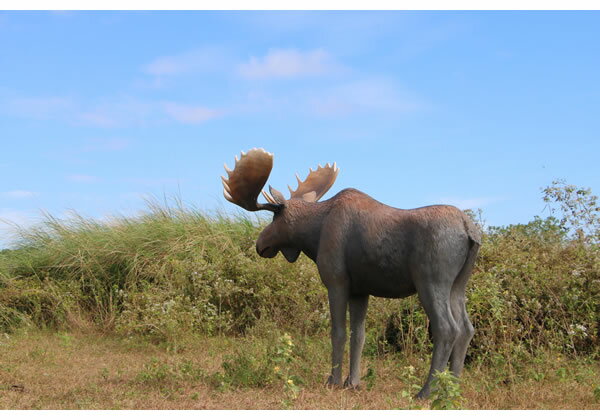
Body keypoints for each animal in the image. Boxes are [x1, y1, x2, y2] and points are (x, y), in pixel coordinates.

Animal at [221, 148, 482, 400]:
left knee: (447, 329)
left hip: (431, 280)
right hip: (458, 285)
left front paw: (333, 381)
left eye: (275, 217)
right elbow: (359, 336)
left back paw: (426, 392)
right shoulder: (360, 290)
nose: (260, 244)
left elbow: (338, 332)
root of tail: (470, 231)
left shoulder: (336, 281)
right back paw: (452, 390)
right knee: (466, 328)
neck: (313, 234)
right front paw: (353, 382)